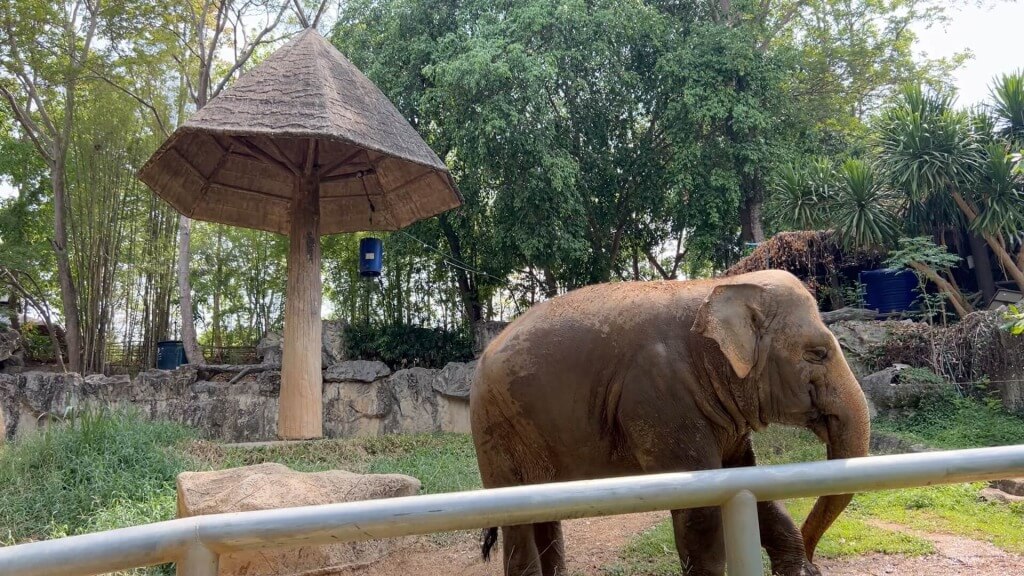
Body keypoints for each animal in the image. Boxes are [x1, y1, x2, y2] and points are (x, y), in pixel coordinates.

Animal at [468, 270, 868, 573]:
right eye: (817, 353)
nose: (816, 565)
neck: (721, 285)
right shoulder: (660, 394)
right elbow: (701, 513)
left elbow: (750, 486)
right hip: (496, 432)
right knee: (517, 524)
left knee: (544, 518)